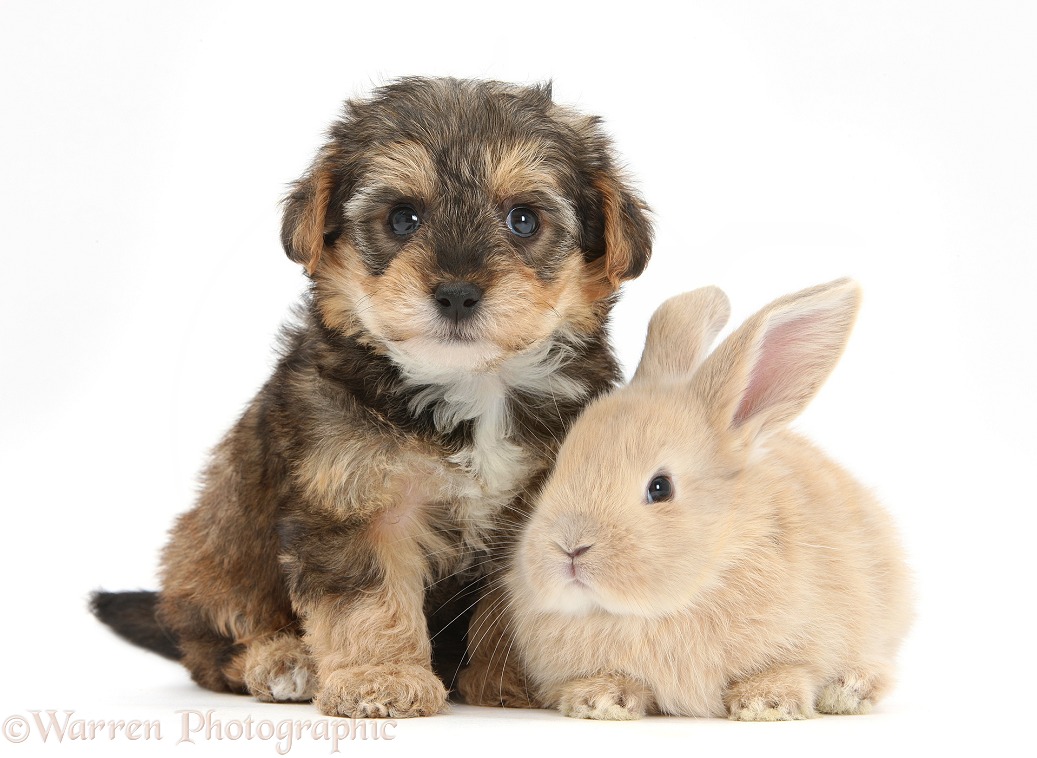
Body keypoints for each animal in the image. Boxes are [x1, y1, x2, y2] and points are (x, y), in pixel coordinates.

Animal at [93, 77, 651, 717]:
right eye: (403, 218)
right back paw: (280, 661)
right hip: (213, 552)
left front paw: (540, 681)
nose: (457, 293)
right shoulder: (351, 498)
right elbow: (367, 596)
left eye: (524, 220)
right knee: (215, 642)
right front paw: (378, 678)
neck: (474, 390)